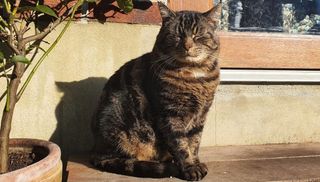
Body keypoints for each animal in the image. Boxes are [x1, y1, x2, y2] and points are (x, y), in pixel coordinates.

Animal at [89, 1, 220, 181]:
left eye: (197, 35)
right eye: (177, 36)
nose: (187, 46)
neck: (194, 75)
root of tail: (95, 150)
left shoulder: (200, 115)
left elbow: (194, 141)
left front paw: (196, 162)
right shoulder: (170, 115)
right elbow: (181, 144)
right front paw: (190, 167)